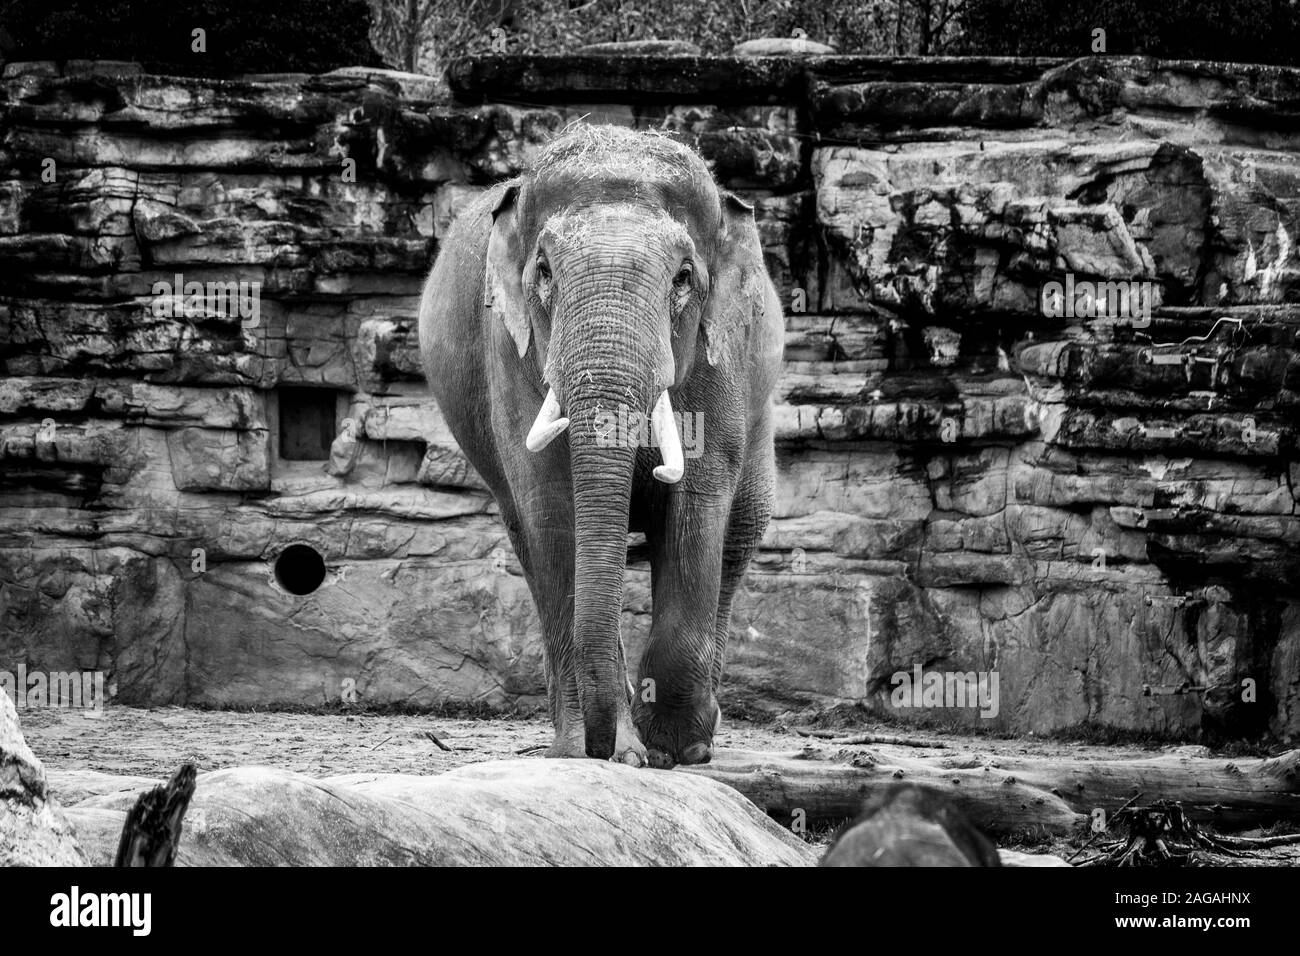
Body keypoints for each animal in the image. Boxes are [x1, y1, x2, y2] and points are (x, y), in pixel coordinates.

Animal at [418, 125, 780, 770]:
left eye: (684, 278)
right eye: (543, 271)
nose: (600, 745)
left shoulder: (723, 356)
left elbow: (699, 500)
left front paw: (674, 749)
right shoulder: (509, 349)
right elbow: (551, 505)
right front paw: (607, 756)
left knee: (740, 531)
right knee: (529, 540)